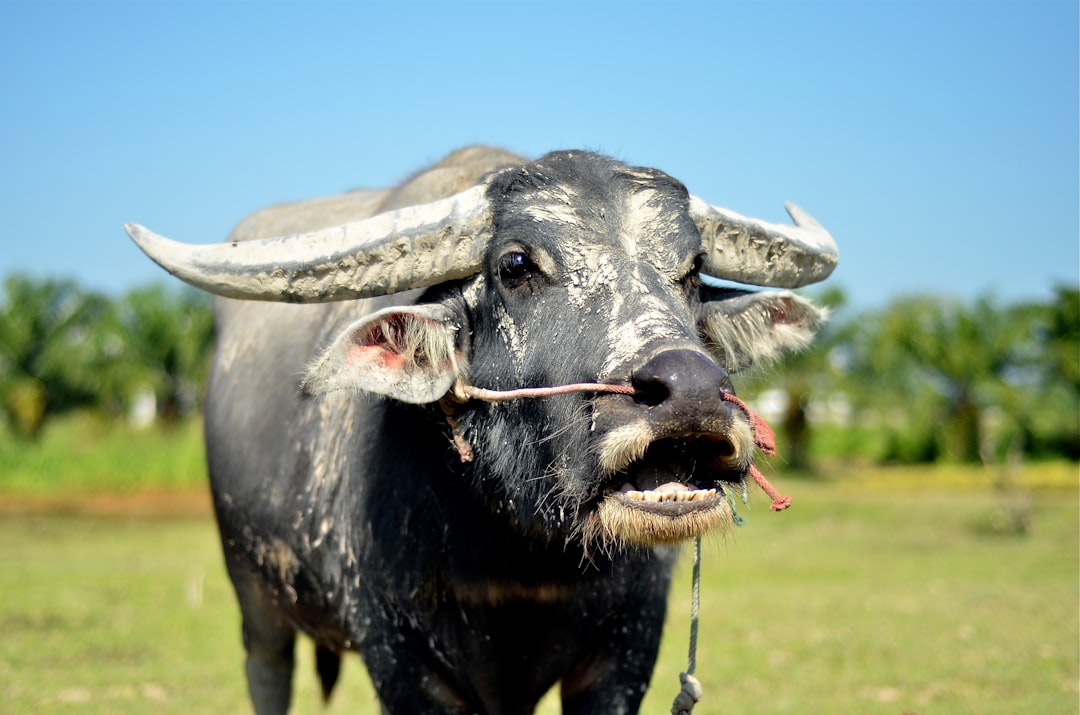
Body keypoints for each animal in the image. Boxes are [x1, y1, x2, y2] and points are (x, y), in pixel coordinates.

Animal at [126, 146, 833, 715]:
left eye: (690, 270)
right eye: (516, 264)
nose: (692, 392)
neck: (520, 560)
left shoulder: (624, 654)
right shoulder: (402, 662)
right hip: (255, 597)